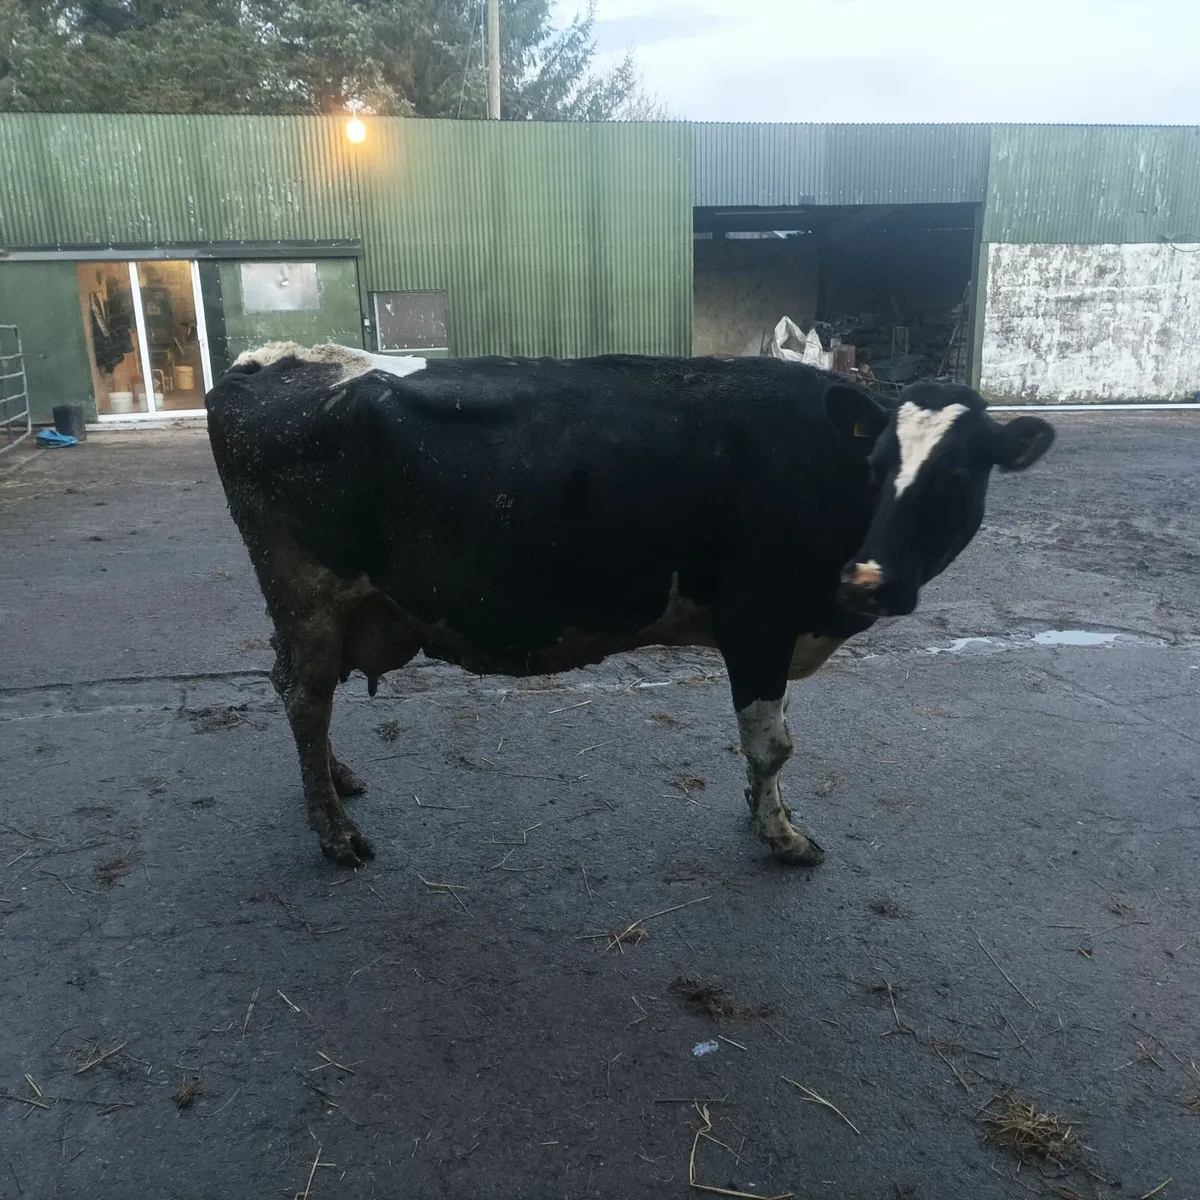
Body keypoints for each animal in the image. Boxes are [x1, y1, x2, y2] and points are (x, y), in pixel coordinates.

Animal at [205, 342, 1054, 869]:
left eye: (957, 476)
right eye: (877, 464)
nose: (870, 580)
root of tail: (262, 361)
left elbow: (773, 745)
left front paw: (763, 814)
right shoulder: (759, 623)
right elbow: (771, 745)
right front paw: (780, 837)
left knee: (300, 697)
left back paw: (337, 779)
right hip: (308, 592)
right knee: (305, 697)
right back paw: (335, 831)